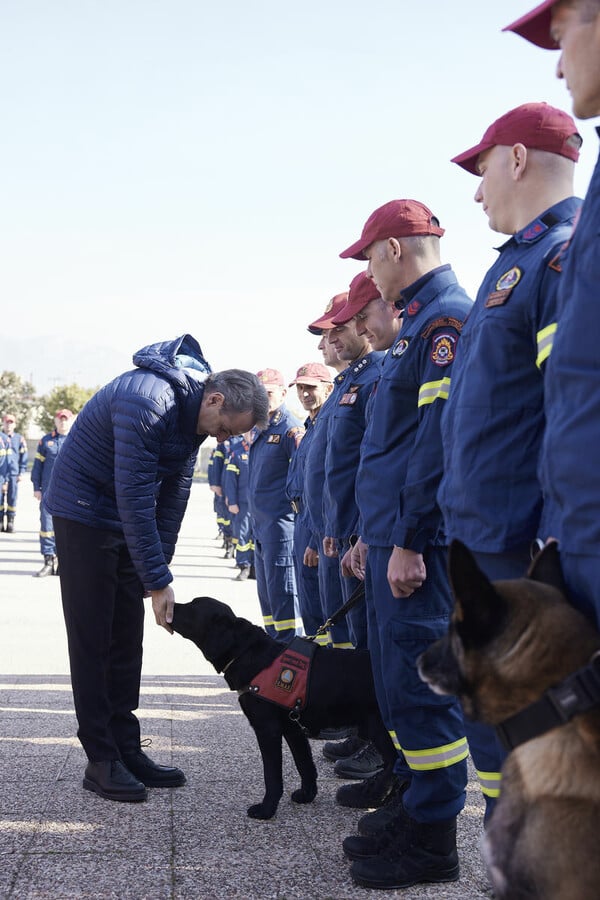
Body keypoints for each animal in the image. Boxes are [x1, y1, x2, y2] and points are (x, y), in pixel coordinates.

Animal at [170, 596, 394, 820]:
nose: (170, 604)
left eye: (193, 606)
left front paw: (267, 809)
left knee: (394, 768)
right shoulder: (293, 727)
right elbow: (304, 763)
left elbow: (272, 774)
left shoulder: (267, 729)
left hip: (381, 730)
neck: (247, 653)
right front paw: (307, 794)